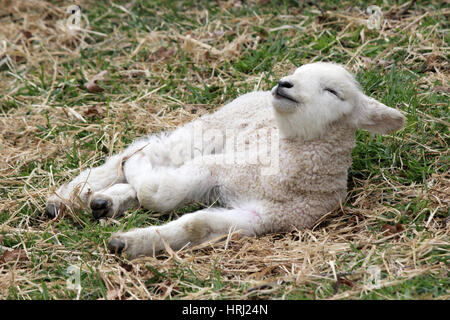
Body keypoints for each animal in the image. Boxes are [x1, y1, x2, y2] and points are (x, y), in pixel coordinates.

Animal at [44, 61, 404, 258]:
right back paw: (67, 197)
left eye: (332, 91)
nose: (284, 84)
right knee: (148, 149)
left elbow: (194, 224)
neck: (280, 175)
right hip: (210, 130)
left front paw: (128, 243)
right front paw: (135, 172)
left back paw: (105, 202)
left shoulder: (263, 218)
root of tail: (253, 94)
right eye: (297, 73)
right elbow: (157, 192)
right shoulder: (218, 168)